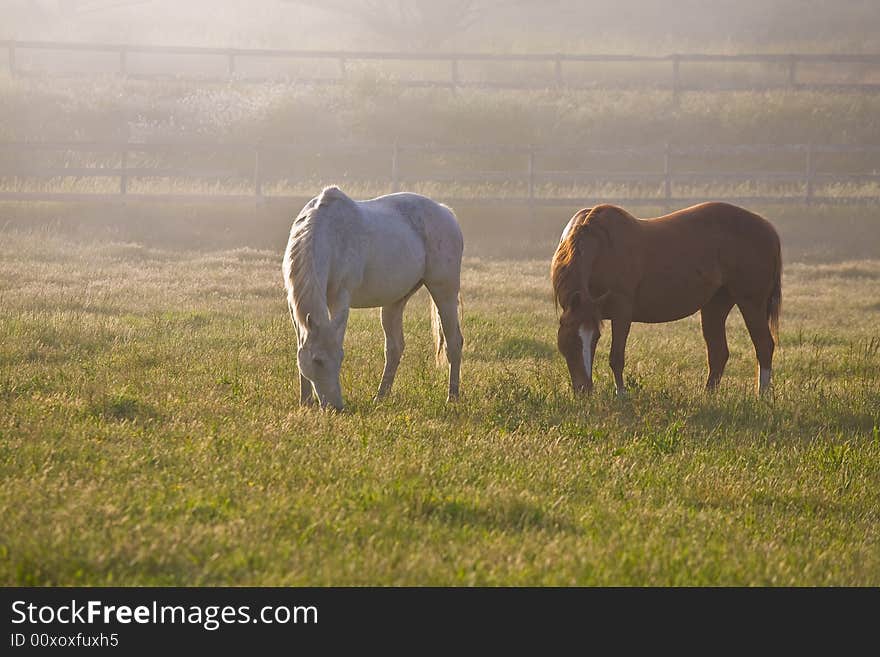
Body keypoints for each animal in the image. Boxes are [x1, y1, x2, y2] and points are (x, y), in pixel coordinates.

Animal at [282, 186, 464, 410]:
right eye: (317, 360)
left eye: (341, 358)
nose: (336, 407)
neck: (330, 235)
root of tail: (445, 212)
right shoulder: (293, 306)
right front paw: (305, 402)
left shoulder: (341, 298)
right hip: (395, 301)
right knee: (395, 348)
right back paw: (380, 396)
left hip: (444, 292)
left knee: (453, 342)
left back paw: (452, 397)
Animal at [552, 200, 784, 394]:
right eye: (570, 340)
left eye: (591, 339)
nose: (584, 390)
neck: (601, 246)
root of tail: (768, 228)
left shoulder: (621, 312)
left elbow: (616, 357)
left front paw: (622, 395)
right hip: (716, 304)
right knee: (719, 352)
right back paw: (709, 396)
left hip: (751, 303)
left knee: (764, 346)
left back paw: (762, 396)